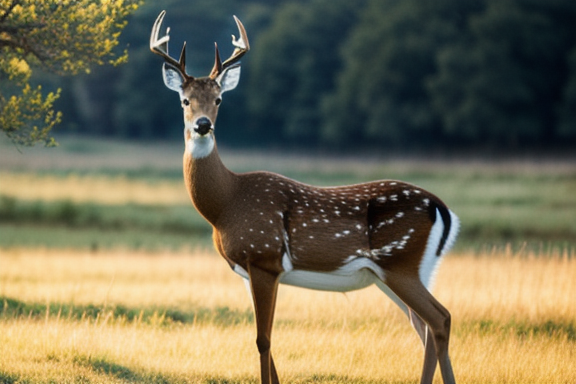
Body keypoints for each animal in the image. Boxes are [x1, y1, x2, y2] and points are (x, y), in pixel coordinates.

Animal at [151, 10, 462, 382]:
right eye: (184, 100)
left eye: (218, 100)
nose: (202, 125)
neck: (226, 204)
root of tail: (443, 208)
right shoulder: (250, 269)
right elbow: (268, 342)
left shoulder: (264, 256)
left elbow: (263, 340)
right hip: (400, 272)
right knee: (426, 324)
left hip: (400, 262)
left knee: (439, 318)